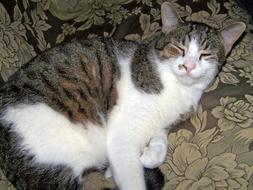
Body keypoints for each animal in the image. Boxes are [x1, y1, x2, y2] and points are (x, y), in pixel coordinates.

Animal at [0, 1, 245, 190]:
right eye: (179, 48)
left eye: (205, 55)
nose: (188, 66)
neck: (174, 85)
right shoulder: (123, 133)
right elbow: (132, 178)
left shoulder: (157, 123)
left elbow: (160, 142)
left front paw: (149, 155)